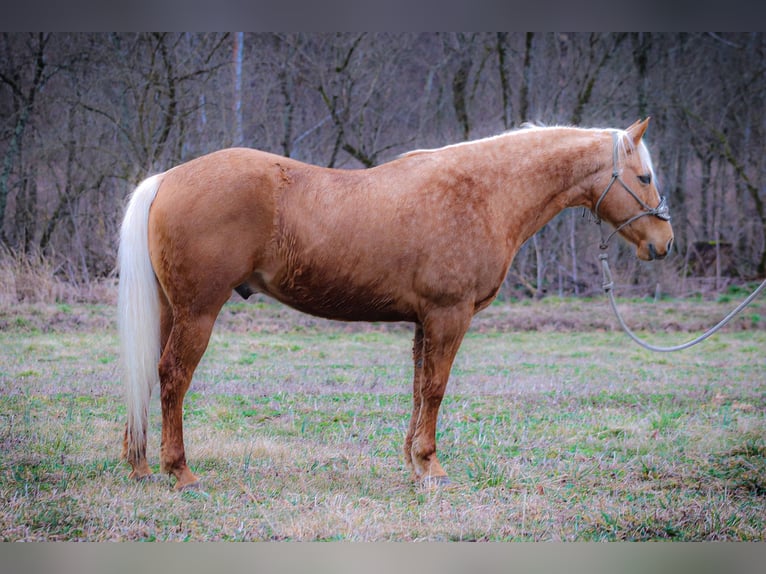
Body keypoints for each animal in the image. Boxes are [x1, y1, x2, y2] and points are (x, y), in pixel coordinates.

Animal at [118, 117, 672, 490]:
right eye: (644, 178)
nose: (663, 243)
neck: (483, 193)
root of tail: (167, 178)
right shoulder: (450, 315)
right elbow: (436, 389)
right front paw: (432, 466)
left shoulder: (425, 321)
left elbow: (418, 389)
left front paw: (414, 462)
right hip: (198, 312)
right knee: (173, 378)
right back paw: (180, 471)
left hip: (171, 310)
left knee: (149, 372)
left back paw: (140, 464)